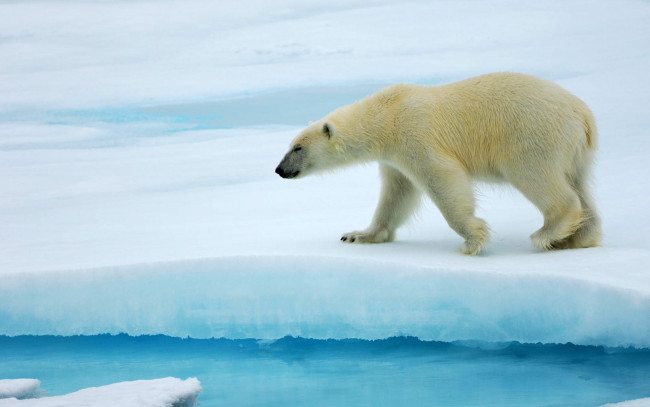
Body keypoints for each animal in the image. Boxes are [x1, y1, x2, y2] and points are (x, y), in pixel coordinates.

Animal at [274, 71, 596, 253]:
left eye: (298, 147)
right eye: (289, 145)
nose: (279, 170)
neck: (386, 115)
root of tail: (582, 114)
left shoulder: (415, 135)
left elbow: (442, 179)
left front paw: (472, 240)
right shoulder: (393, 158)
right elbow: (396, 195)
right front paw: (358, 235)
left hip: (531, 135)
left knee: (537, 177)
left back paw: (548, 233)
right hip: (575, 151)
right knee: (580, 185)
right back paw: (576, 238)